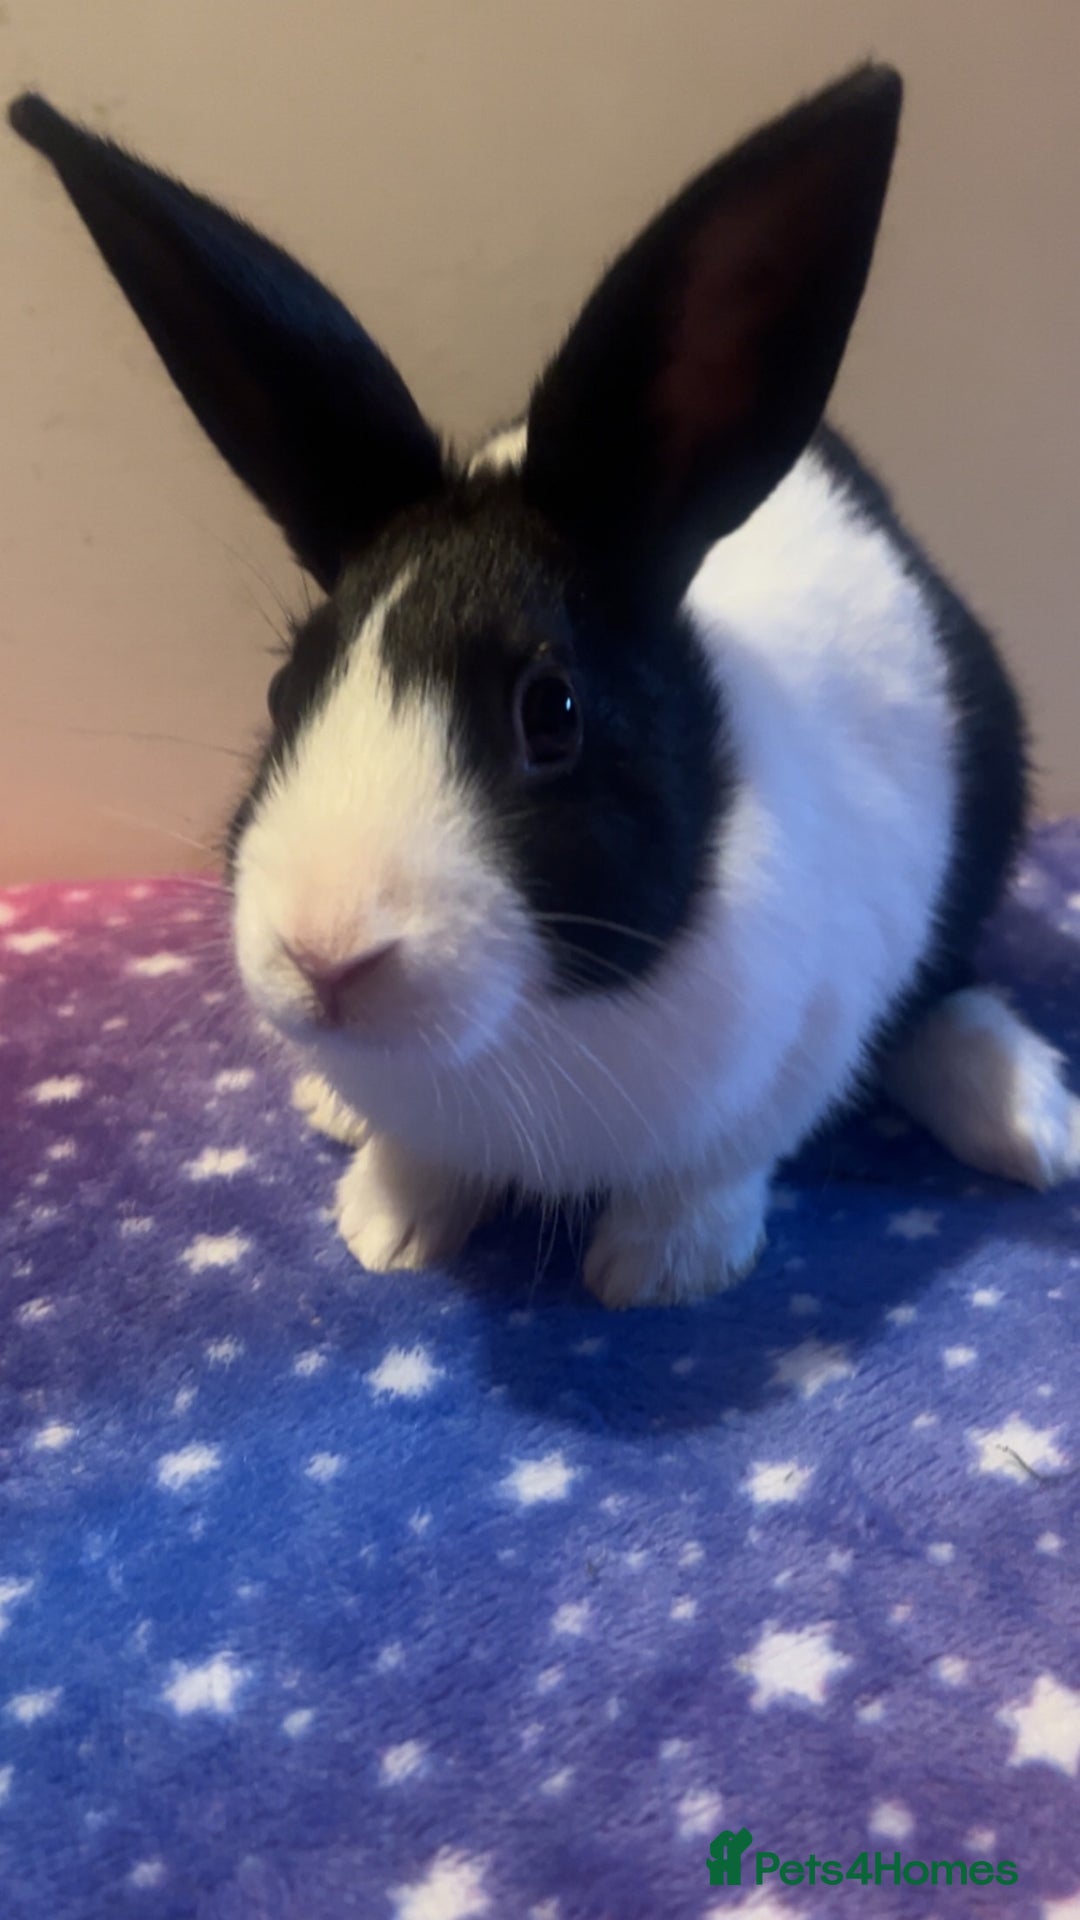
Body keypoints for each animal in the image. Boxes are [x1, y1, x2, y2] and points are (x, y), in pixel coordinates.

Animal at [11, 67, 1079, 1308]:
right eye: (285, 688)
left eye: (551, 713)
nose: (326, 959)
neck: (512, 1037)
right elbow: (421, 1163)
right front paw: (387, 1226)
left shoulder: (794, 1045)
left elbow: (719, 1167)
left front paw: (660, 1274)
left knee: (950, 989)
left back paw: (1027, 1123)